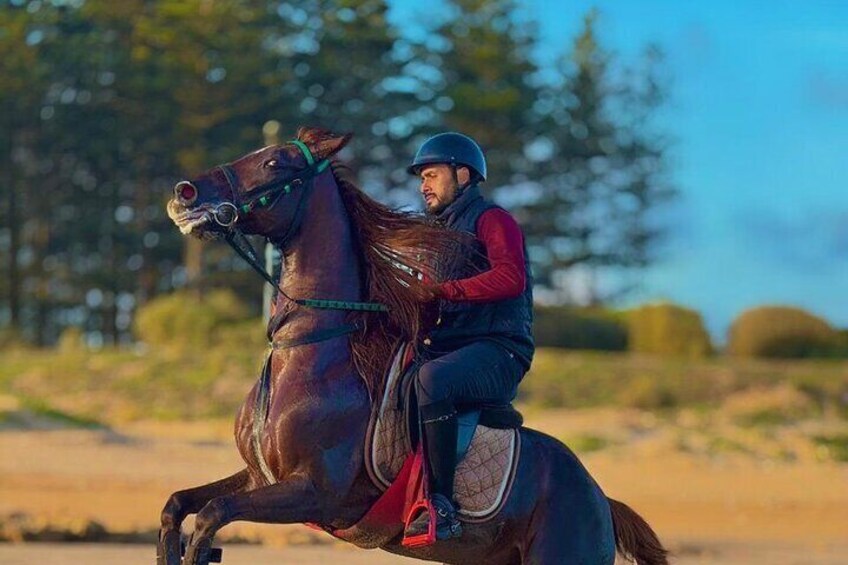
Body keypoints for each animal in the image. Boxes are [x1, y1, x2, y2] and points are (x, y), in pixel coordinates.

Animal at [157, 128, 664, 564]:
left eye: (274, 161)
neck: (310, 350)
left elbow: (212, 515)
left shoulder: (313, 492)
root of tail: (600, 499)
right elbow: (178, 505)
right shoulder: (259, 476)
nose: (185, 194)